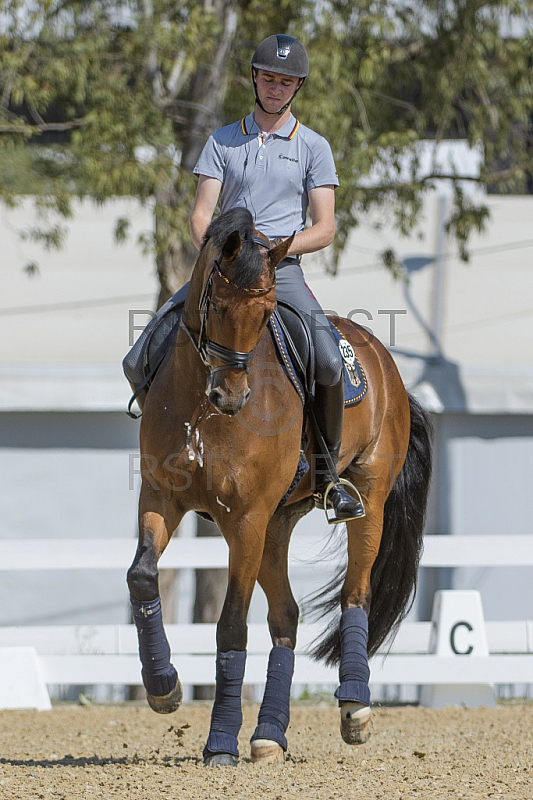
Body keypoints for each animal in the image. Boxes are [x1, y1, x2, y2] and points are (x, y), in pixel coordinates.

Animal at [125, 206, 432, 768]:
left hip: (367, 500)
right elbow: (141, 576)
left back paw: (354, 707)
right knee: (286, 616)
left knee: (356, 593)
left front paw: (219, 742)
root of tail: (383, 358)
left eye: (267, 310)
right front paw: (163, 687)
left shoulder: (244, 519)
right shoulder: (161, 498)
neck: (202, 408)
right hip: (277, 523)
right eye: (217, 304)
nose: (231, 396)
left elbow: (230, 624)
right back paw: (269, 734)